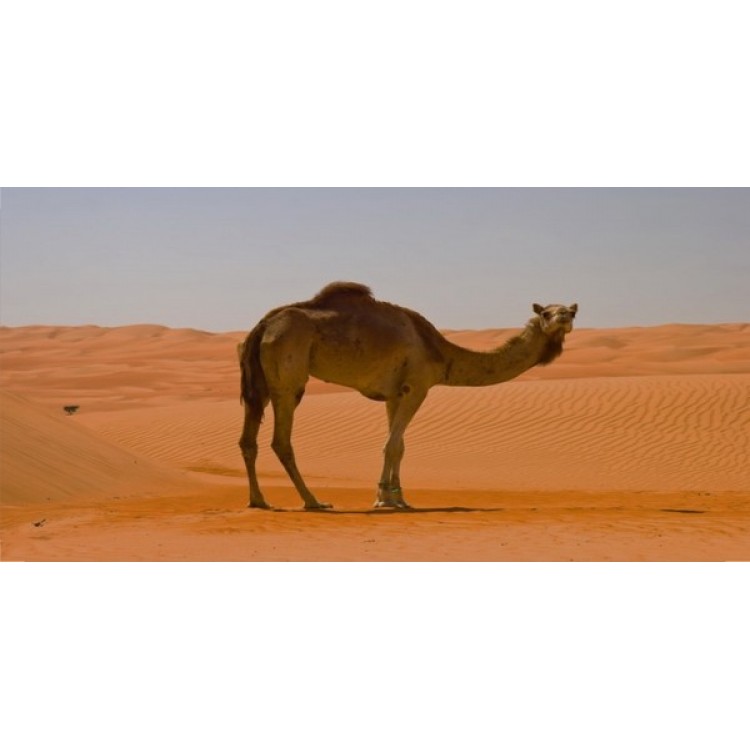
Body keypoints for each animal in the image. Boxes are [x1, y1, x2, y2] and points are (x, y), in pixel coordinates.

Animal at [238, 282, 577, 510]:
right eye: (547, 312)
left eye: (569, 311)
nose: (565, 315)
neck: (440, 352)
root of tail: (263, 325)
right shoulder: (418, 386)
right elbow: (392, 445)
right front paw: (385, 499)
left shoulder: (394, 393)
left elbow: (398, 445)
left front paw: (396, 497)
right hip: (288, 374)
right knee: (281, 440)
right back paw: (314, 501)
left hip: (260, 381)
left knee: (248, 439)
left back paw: (259, 500)